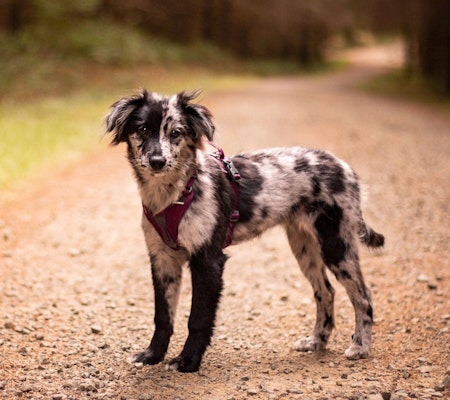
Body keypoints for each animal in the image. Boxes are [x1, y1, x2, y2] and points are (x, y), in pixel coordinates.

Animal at [104, 89, 384, 374]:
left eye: (176, 133)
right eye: (143, 129)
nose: (157, 161)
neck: (174, 194)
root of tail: (345, 167)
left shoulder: (208, 259)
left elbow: (198, 318)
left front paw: (188, 361)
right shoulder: (162, 259)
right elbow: (163, 316)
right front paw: (152, 355)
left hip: (336, 242)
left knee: (362, 296)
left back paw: (360, 346)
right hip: (304, 247)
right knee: (325, 292)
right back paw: (317, 341)